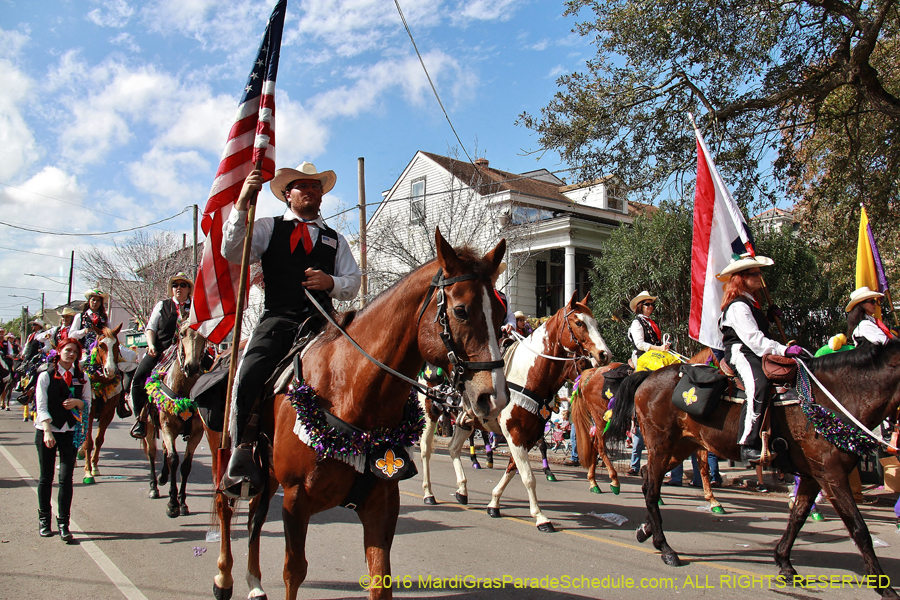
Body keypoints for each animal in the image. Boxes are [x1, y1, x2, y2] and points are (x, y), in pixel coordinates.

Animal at [79, 326, 124, 486]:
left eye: (116, 345)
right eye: (100, 345)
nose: (109, 370)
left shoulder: (108, 413)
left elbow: (99, 440)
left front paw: (94, 467)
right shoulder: (89, 412)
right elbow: (88, 442)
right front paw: (87, 472)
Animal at [142, 322, 208, 516]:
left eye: (204, 335)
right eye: (182, 333)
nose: (191, 367)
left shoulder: (196, 433)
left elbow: (185, 465)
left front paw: (182, 502)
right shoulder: (167, 427)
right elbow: (173, 459)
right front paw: (172, 504)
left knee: (164, 449)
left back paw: (163, 477)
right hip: (149, 427)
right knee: (151, 453)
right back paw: (154, 487)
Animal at [207, 230, 510, 600]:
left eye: (500, 314)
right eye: (461, 310)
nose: (494, 397)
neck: (350, 393)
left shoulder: (382, 503)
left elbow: (380, 581)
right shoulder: (296, 500)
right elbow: (294, 572)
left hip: (266, 472)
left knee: (255, 513)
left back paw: (254, 584)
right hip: (225, 455)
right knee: (225, 506)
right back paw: (224, 579)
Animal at [604, 340, 900, 596]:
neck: (830, 399)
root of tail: (647, 376)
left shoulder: (814, 476)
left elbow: (798, 516)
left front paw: (784, 563)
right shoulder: (832, 475)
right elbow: (859, 528)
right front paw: (883, 585)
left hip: (680, 446)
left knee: (647, 480)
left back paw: (648, 531)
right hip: (662, 444)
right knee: (652, 488)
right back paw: (666, 548)